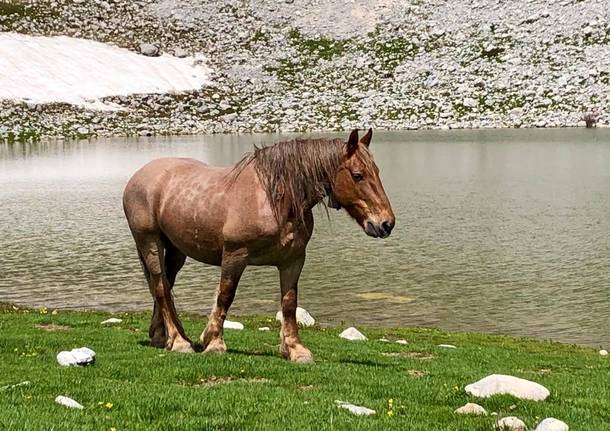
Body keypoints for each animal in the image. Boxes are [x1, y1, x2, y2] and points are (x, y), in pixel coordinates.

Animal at [122, 129, 394, 364]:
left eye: (377, 171)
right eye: (358, 175)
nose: (386, 223)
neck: (275, 200)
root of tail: (138, 176)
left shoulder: (293, 260)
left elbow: (289, 303)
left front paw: (295, 349)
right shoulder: (234, 256)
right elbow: (225, 296)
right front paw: (214, 342)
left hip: (176, 250)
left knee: (166, 285)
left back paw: (163, 337)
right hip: (150, 243)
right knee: (161, 287)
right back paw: (179, 342)